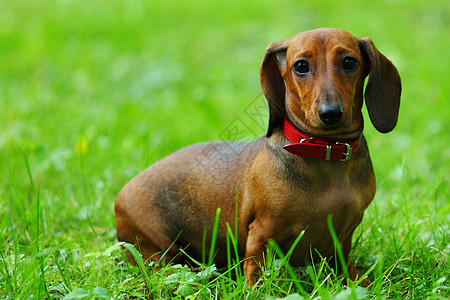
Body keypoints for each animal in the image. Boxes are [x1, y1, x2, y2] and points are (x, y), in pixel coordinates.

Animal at [115, 28, 400, 286]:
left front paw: (359, 283)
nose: (330, 113)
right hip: (158, 248)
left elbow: (343, 267)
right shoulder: (261, 232)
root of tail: (120, 195)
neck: (324, 151)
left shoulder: (343, 237)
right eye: (301, 66)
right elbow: (257, 270)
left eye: (349, 62)